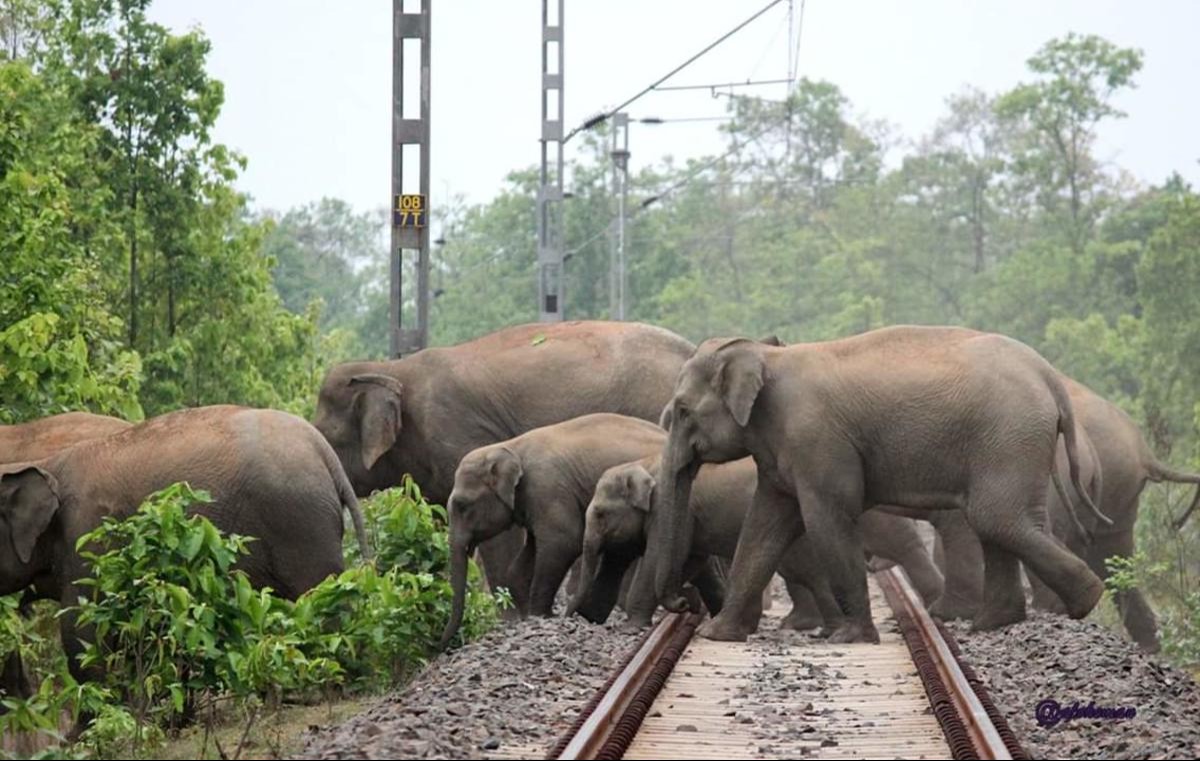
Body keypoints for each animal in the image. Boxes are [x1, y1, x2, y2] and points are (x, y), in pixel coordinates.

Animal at [0, 403, 367, 681]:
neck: (47, 465)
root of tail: (323, 451)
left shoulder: (90, 535)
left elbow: (82, 627)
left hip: (299, 521)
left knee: (325, 596)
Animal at [314, 316, 700, 607]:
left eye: (327, 437)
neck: (392, 368)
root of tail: (692, 349)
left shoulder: (459, 435)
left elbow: (498, 534)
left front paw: (507, 612)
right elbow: (437, 522)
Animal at [441, 412, 667, 643]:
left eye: (462, 505)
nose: (442, 641)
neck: (510, 447)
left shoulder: (547, 489)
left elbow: (563, 543)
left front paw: (540, 616)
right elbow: (523, 561)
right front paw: (525, 616)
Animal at [652, 326, 1108, 638]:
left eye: (682, 410)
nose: (683, 604)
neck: (765, 355)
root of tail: (1048, 375)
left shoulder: (818, 441)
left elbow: (827, 518)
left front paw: (849, 638)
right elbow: (764, 525)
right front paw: (718, 634)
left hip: (1009, 436)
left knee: (997, 518)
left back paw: (1086, 600)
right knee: (995, 522)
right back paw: (993, 623)